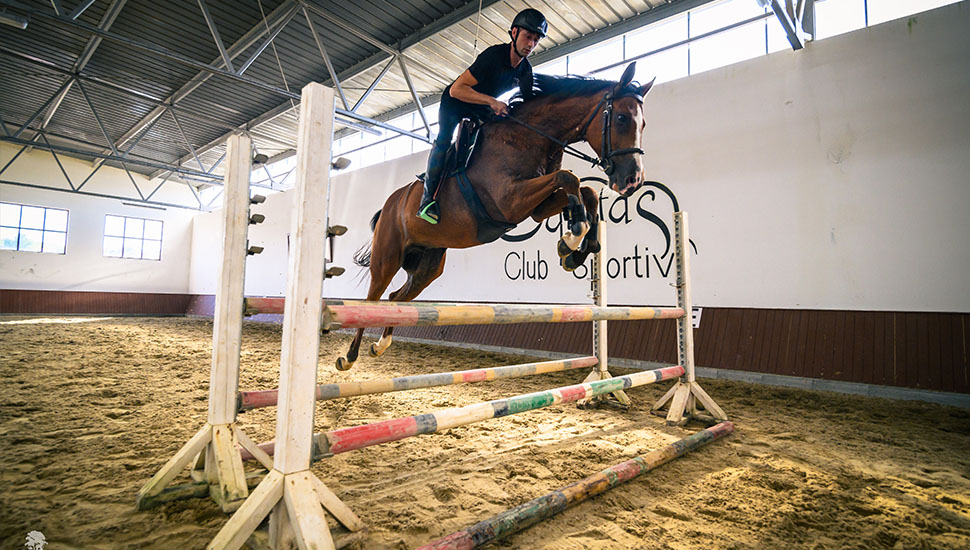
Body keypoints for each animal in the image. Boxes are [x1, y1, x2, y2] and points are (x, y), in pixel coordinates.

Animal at [336, 61, 656, 370]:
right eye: (621, 118)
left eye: (643, 123)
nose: (632, 180)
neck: (528, 137)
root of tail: (390, 204)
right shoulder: (509, 200)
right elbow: (569, 177)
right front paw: (573, 234)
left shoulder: (536, 208)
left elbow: (585, 190)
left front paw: (576, 248)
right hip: (387, 258)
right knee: (372, 299)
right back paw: (349, 357)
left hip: (428, 265)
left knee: (395, 298)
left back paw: (381, 345)